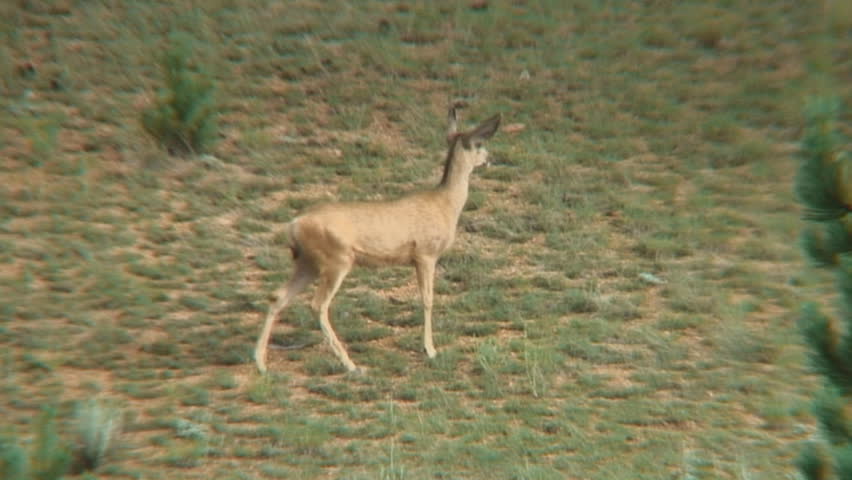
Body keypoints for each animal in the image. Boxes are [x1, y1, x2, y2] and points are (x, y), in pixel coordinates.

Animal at [254, 104, 501, 374]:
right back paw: (350, 364)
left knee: (278, 296)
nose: (490, 159)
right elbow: (427, 300)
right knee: (318, 305)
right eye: (479, 144)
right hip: (336, 260)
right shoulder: (426, 254)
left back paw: (261, 363)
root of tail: (294, 225)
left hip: (307, 263)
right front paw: (430, 350)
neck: (446, 204)